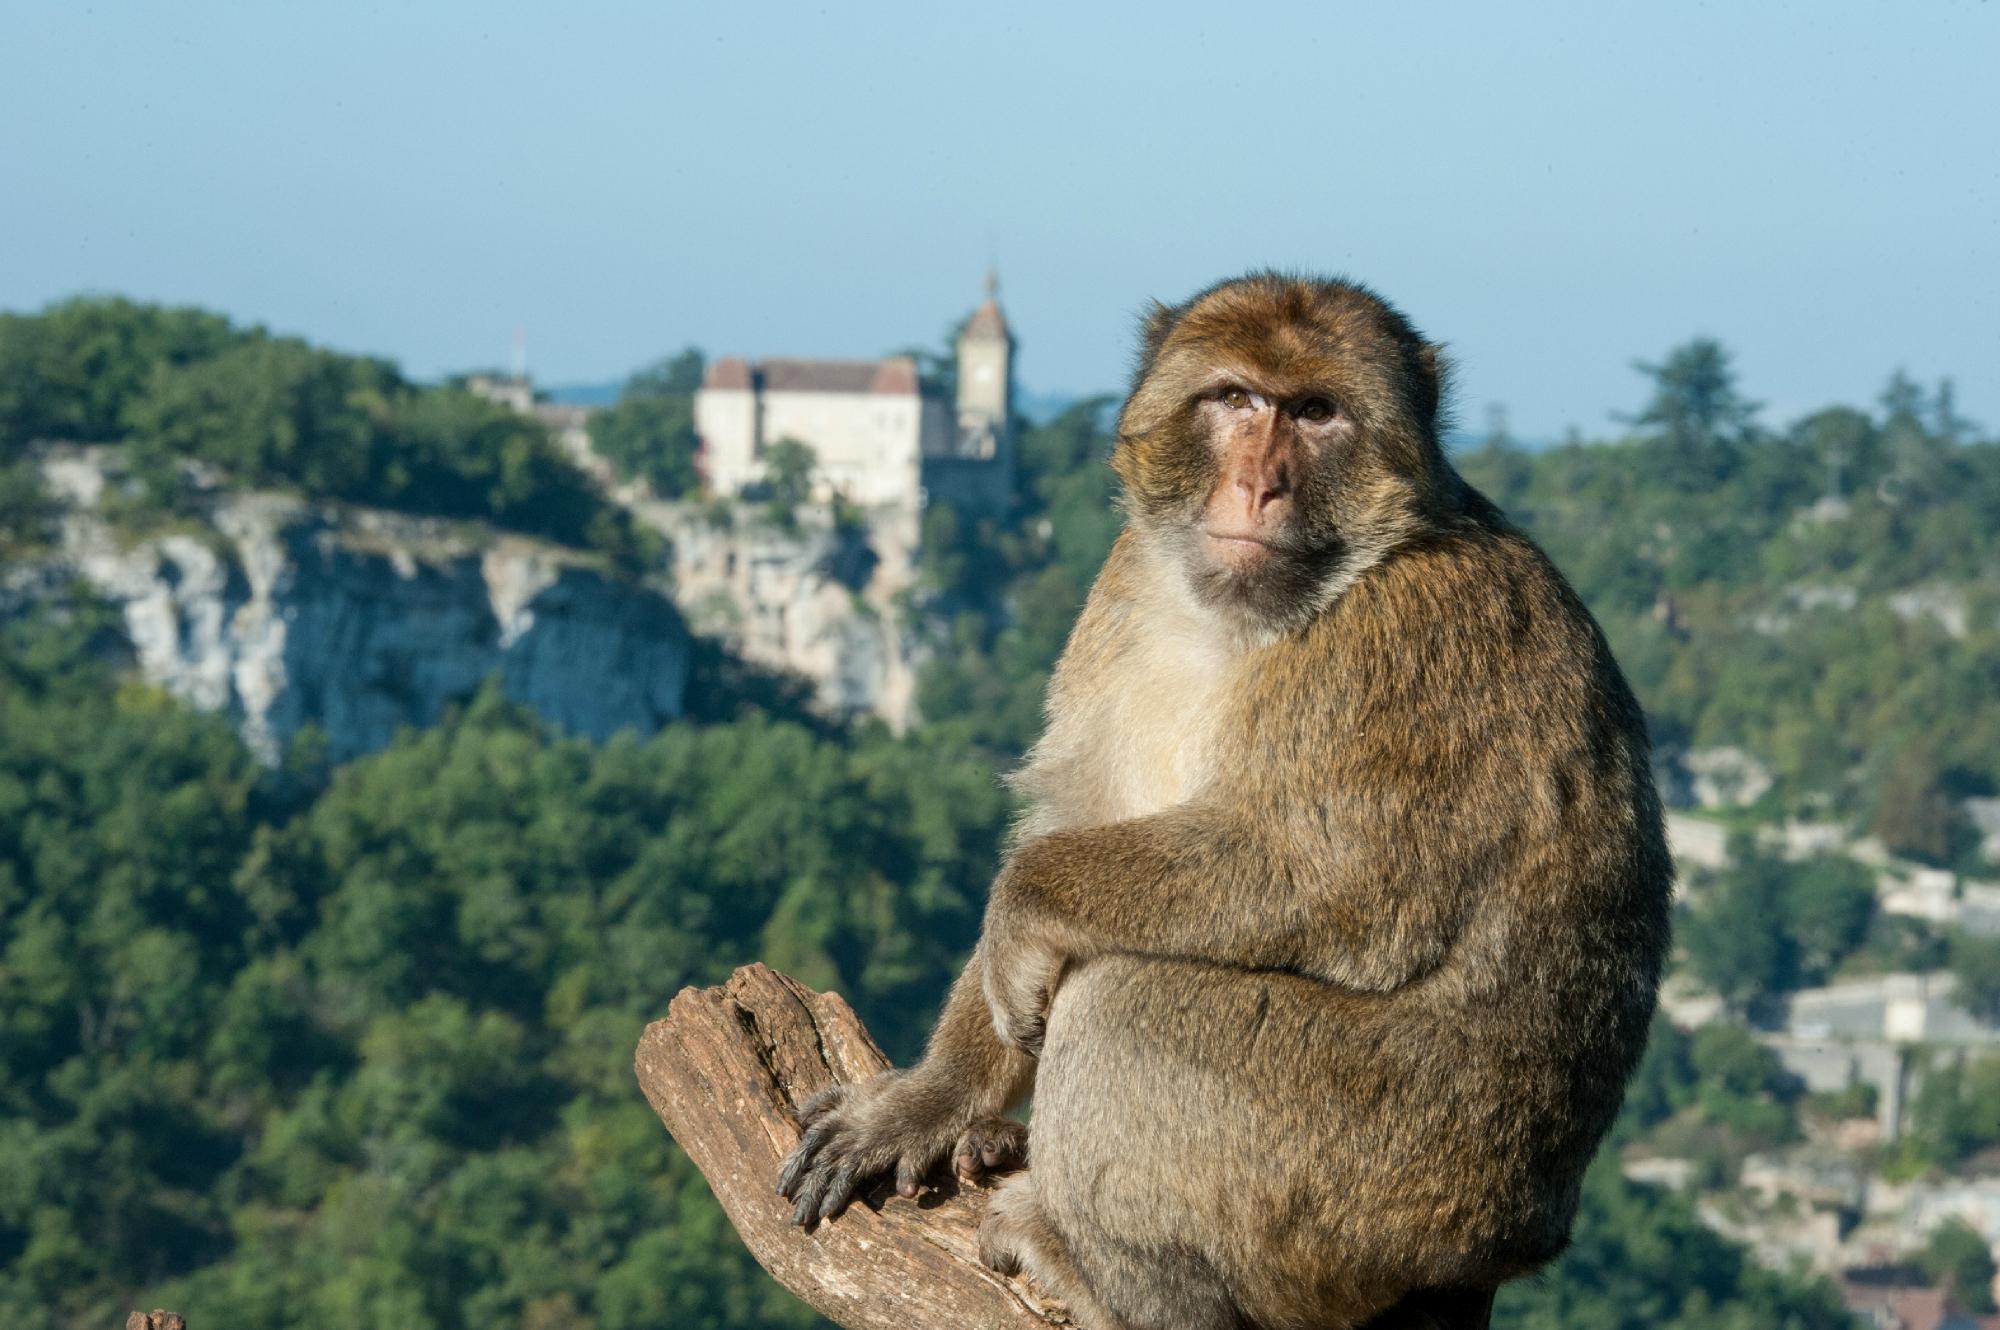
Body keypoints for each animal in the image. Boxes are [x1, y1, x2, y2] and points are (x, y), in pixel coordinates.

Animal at [780, 272, 1672, 1328]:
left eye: (1318, 413)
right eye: (1237, 400)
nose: (1260, 485)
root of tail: (1518, 1241)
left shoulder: (1403, 641)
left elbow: (1330, 879)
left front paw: (1022, 906)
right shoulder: (1123, 581)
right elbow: (1076, 818)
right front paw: (932, 1098)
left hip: (1381, 1177)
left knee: (1123, 1005)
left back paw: (1105, 1276)